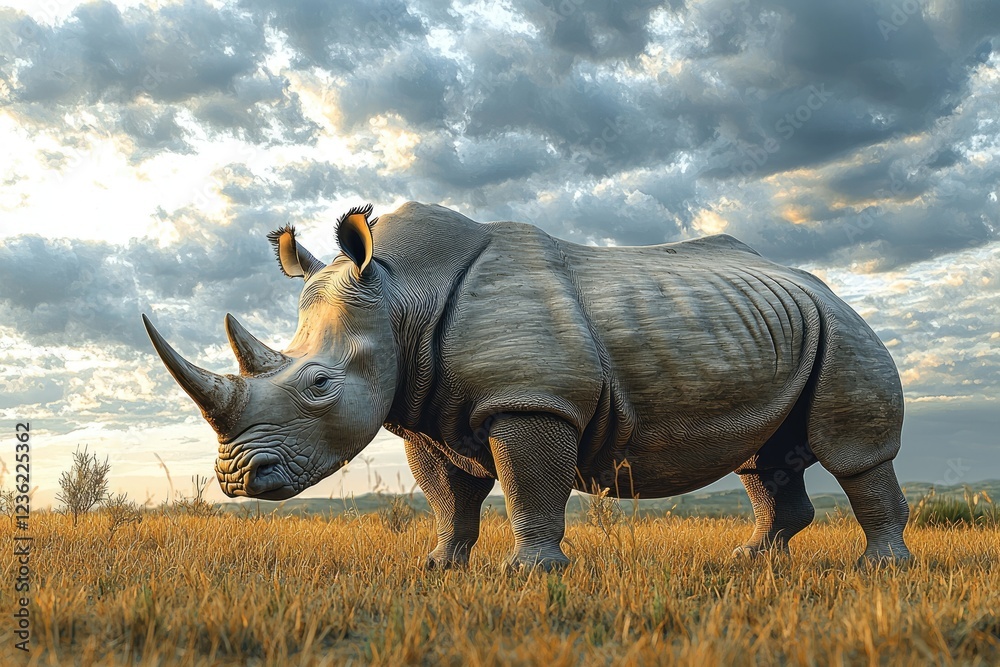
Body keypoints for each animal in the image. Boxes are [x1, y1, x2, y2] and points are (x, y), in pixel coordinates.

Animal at [143, 201, 912, 569]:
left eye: (321, 385)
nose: (235, 479)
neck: (399, 293)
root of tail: (826, 286)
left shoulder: (533, 401)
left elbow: (528, 486)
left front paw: (531, 573)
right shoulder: (423, 410)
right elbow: (449, 498)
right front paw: (439, 567)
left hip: (846, 329)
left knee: (853, 453)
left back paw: (879, 569)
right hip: (773, 324)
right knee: (761, 458)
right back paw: (750, 560)